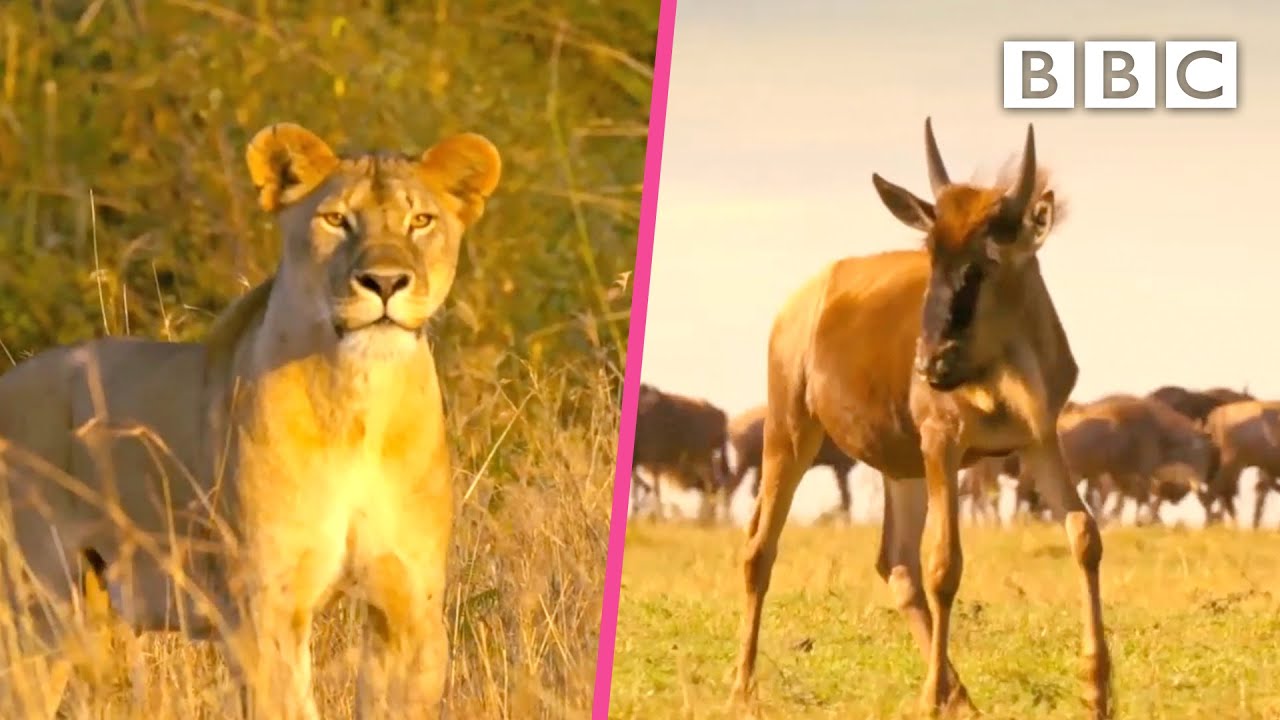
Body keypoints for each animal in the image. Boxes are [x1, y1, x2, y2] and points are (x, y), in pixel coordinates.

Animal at [0, 121, 501, 719]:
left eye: (421, 221)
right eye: (336, 220)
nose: (384, 282)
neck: (359, 404)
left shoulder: (408, 605)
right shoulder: (265, 610)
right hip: (41, 614)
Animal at [730, 119, 1111, 718]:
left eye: (988, 259)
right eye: (931, 253)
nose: (931, 364)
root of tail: (806, 297)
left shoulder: (1039, 438)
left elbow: (1084, 534)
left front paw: (1097, 690)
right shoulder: (943, 445)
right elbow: (945, 565)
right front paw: (929, 698)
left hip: (900, 468)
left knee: (896, 563)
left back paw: (961, 694)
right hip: (790, 434)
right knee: (760, 550)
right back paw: (743, 687)